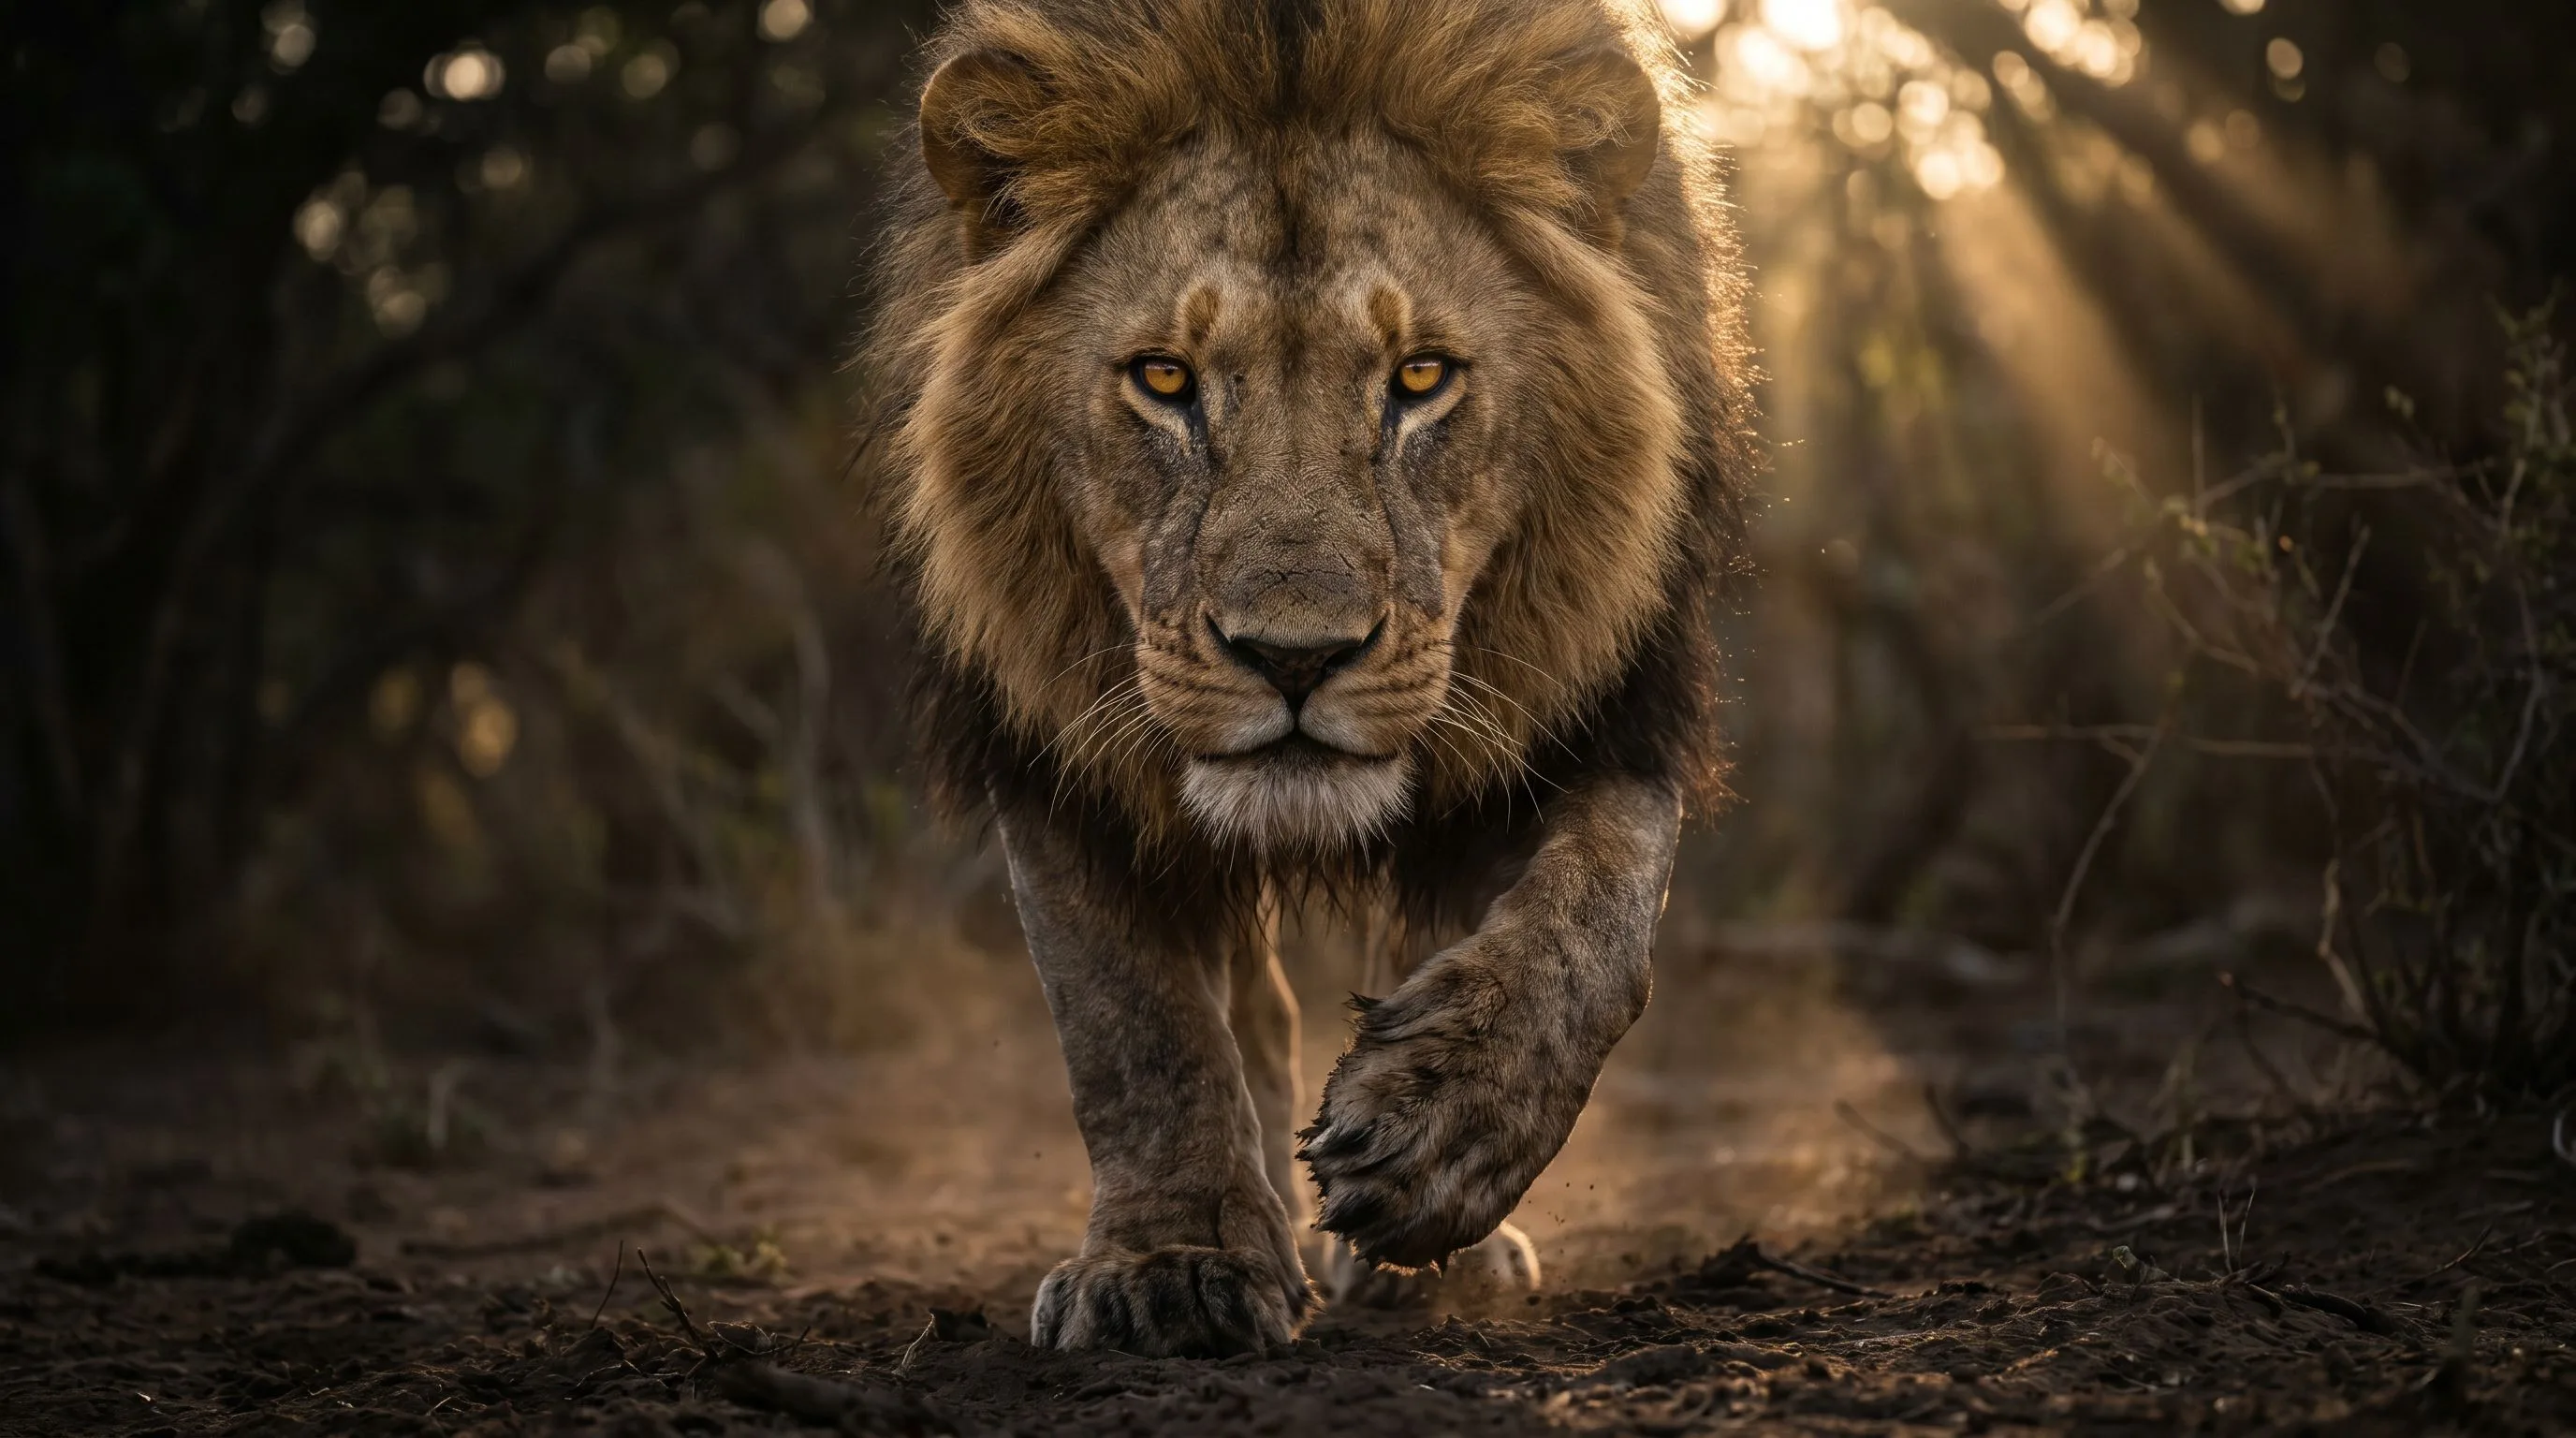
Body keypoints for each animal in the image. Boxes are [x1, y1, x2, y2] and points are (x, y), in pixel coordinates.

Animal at [863, 0, 1752, 1357]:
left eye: (1421, 377)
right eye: (1165, 379)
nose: (1294, 657)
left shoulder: (1616, 695)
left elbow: (1593, 930)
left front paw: (1439, 1142)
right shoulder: (1050, 743)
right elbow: (1130, 1021)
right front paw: (1169, 1263)